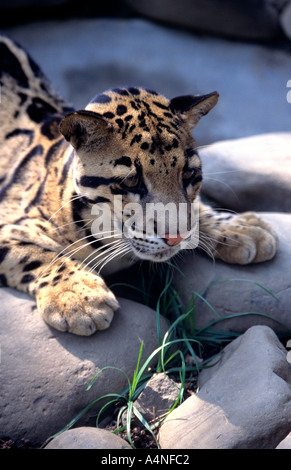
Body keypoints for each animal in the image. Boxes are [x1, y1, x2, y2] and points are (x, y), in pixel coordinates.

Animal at [0, 34, 280, 334]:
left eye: (189, 175)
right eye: (131, 181)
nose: (175, 239)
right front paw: (78, 296)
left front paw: (241, 227)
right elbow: (36, 253)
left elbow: (194, 209)